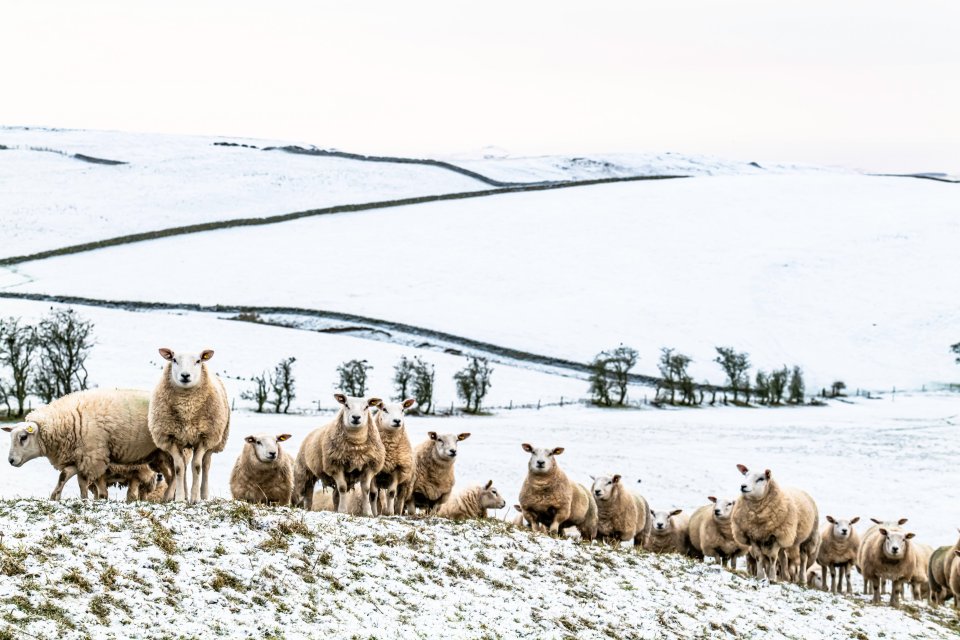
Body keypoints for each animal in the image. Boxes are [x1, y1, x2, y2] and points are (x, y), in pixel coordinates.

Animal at [4, 384, 167, 500]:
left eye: (23, 437)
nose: (10, 460)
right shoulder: (80, 458)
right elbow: (67, 476)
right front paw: (60, 496)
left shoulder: (94, 457)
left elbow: (94, 487)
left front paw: (92, 499)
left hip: (140, 469)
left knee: (136, 493)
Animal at [150, 348, 232, 502]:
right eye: (174, 360)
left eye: (198, 361)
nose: (185, 375)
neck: (187, 406)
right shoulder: (171, 439)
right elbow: (179, 468)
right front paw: (180, 498)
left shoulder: (204, 438)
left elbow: (197, 466)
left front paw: (195, 498)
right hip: (184, 443)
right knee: (184, 466)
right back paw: (185, 494)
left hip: (215, 440)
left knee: (206, 465)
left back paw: (204, 495)